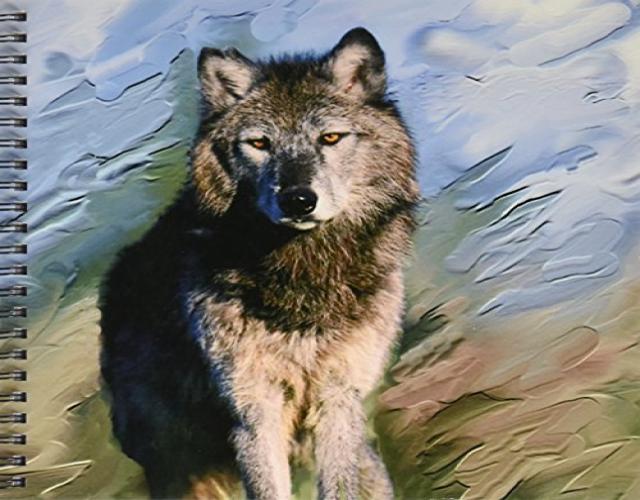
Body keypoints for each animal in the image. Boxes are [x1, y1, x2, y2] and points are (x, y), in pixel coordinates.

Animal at [99, 27, 419, 499]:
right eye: (259, 144)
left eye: (330, 138)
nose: (299, 200)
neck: (303, 277)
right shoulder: (254, 410)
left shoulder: (339, 398)